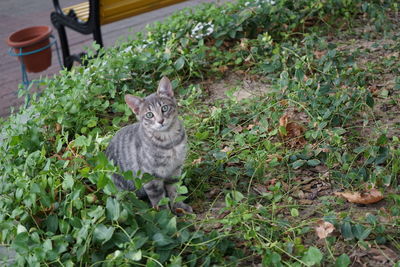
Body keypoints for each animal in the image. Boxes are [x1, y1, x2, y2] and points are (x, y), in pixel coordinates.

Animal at [105, 76, 193, 215]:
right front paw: (165, 216)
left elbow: (175, 191)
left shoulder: (175, 169)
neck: (169, 140)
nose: (161, 121)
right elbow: (158, 200)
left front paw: (179, 206)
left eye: (164, 108)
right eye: (149, 115)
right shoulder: (149, 177)